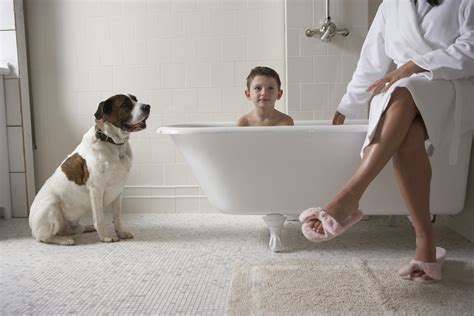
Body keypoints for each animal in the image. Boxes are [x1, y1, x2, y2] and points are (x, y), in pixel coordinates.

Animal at [28, 95, 150, 246]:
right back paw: (64, 240)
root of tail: (31, 226)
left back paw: (86, 228)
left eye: (135, 99)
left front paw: (120, 233)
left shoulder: (118, 191)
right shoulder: (96, 190)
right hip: (51, 206)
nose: (147, 106)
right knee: (44, 237)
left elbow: (117, 217)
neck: (111, 141)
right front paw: (105, 237)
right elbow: (100, 218)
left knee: (74, 229)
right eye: (125, 104)